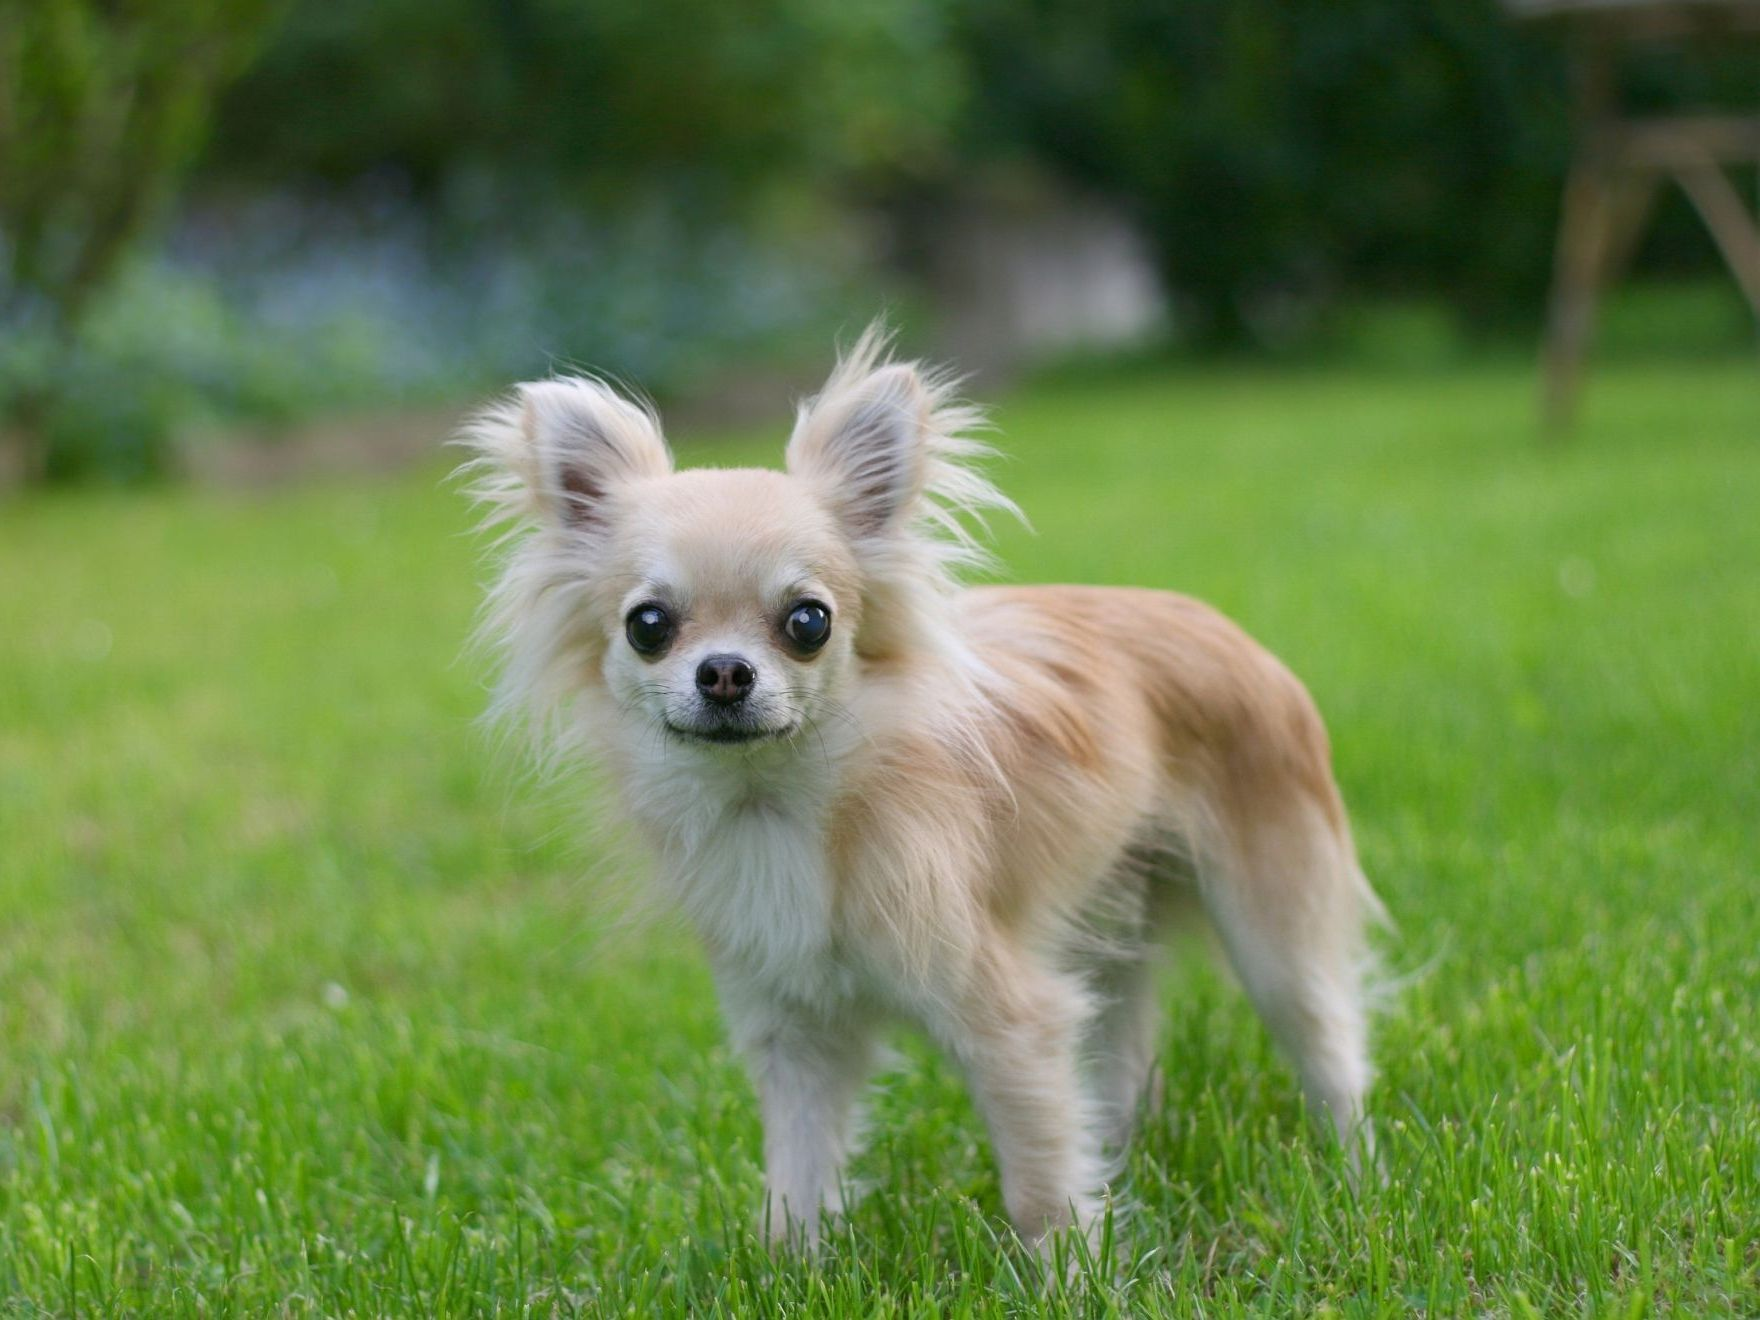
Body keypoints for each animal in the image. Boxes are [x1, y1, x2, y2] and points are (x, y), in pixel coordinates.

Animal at [461, 329, 1379, 1253]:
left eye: (808, 621)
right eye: (647, 626)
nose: (723, 672)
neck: (781, 805)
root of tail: (1218, 624)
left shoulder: (1009, 1016)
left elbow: (1039, 1184)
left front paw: (1067, 1268)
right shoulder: (793, 1031)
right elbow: (797, 1173)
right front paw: (790, 1264)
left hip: (1270, 925)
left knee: (1327, 1041)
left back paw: (1353, 1172)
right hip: (1109, 925)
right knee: (1122, 1051)